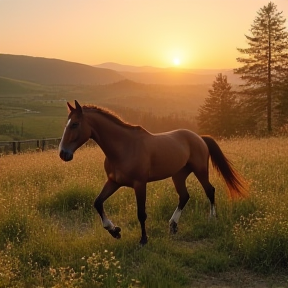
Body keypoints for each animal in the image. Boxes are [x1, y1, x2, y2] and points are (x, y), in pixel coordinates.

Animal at [59, 100, 248, 244]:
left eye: (75, 124)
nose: (63, 154)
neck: (124, 147)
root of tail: (199, 137)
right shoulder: (114, 182)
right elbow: (98, 203)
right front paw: (114, 230)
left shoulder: (140, 184)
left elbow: (141, 213)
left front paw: (143, 239)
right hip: (178, 175)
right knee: (184, 196)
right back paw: (173, 225)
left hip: (200, 170)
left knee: (210, 190)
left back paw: (212, 219)